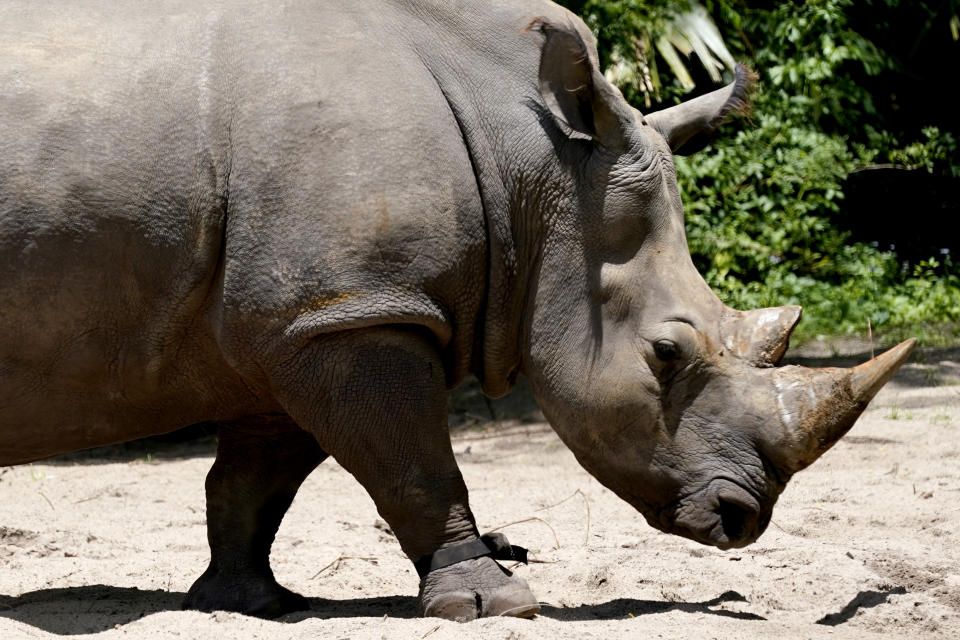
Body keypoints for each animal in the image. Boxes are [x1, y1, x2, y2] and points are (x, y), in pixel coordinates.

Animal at [1, 0, 916, 624]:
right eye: (667, 354)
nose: (740, 519)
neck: (535, 168)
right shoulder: (357, 311)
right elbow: (414, 462)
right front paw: (495, 602)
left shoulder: (302, 318)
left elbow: (255, 481)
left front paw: (246, 602)